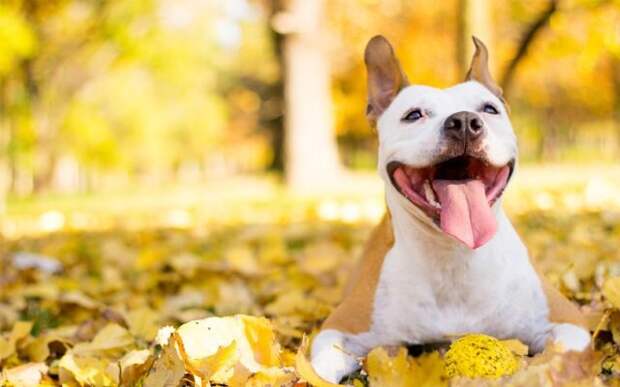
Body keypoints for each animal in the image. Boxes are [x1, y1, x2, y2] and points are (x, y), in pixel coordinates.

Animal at [310, 36, 592, 384]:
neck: (453, 256)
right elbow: (316, 369)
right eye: (413, 115)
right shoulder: (338, 330)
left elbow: (558, 359)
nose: (465, 122)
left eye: (489, 109)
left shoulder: (569, 323)